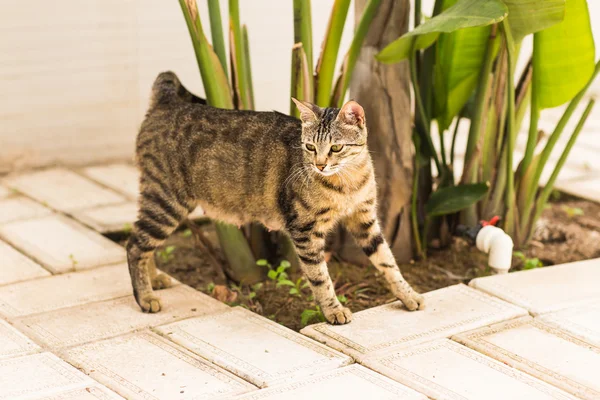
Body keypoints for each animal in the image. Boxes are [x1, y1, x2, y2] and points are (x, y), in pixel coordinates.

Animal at [128, 72, 424, 324]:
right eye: (310, 147)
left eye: (336, 147)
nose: (319, 165)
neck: (346, 183)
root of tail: (166, 103)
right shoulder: (305, 230)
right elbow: (320, 277)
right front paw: (334, 310)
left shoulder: (364, 220)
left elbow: (387, 261)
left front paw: (408, 295)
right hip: (166, 200)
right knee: (134, 245)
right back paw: (145, 297)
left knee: (142, 241)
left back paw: (155, 280)